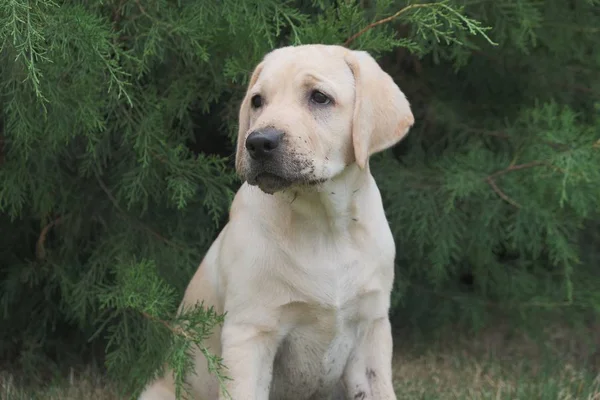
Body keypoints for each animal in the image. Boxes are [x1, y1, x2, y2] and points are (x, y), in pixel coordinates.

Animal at [140, 43, 412, 400]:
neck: (324, 223)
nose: (257, 142)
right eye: (258, 101)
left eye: (319, 97)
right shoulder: (251, 333)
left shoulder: (371, 326)